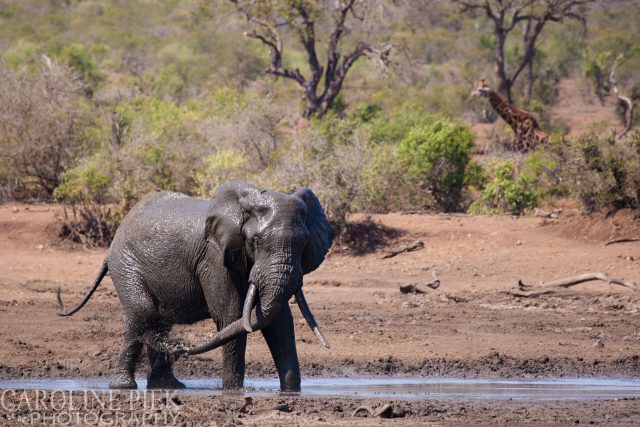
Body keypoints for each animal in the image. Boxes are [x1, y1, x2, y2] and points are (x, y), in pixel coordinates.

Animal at [56, 181, 336, 392]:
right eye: (255, 241)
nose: (182, 348)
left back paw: (168, 385)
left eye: (304, 243)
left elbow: (278, 323)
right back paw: (124, 387)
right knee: (141, 314)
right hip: (125, 264)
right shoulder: (214, 257)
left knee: (158, 322)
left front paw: (291, 392)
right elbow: (231, 317)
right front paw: (232, 392)